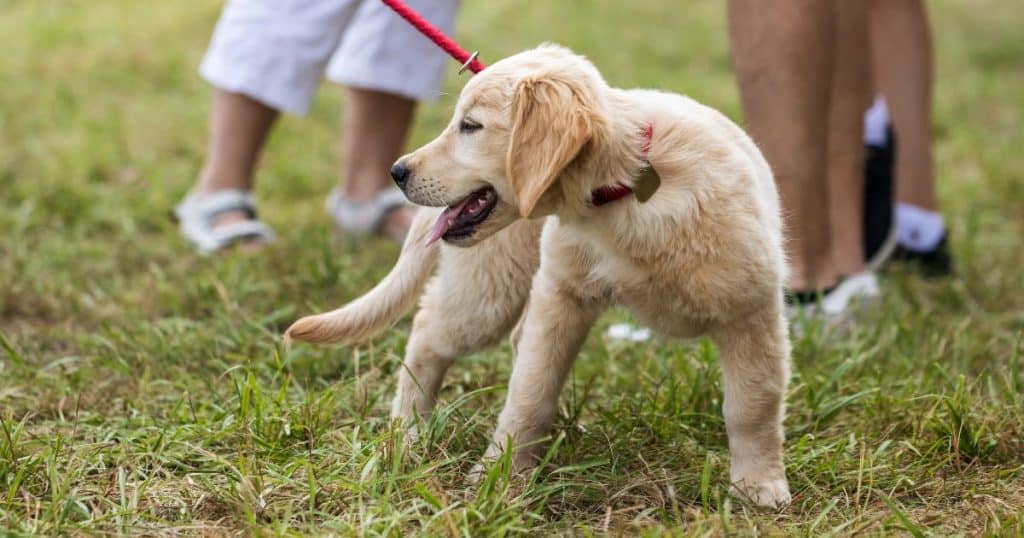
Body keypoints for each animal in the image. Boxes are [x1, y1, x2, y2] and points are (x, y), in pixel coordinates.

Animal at [286, 45, 790, 508]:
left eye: (470, 126)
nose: (397, 171)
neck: (624, 192)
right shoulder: (560, 294)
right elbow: (531, 391)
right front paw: (501, 478)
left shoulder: (752, 310)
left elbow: (752, 405)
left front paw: (758, 486)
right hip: (489, 288)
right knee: (429, 333)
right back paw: (407, 433)